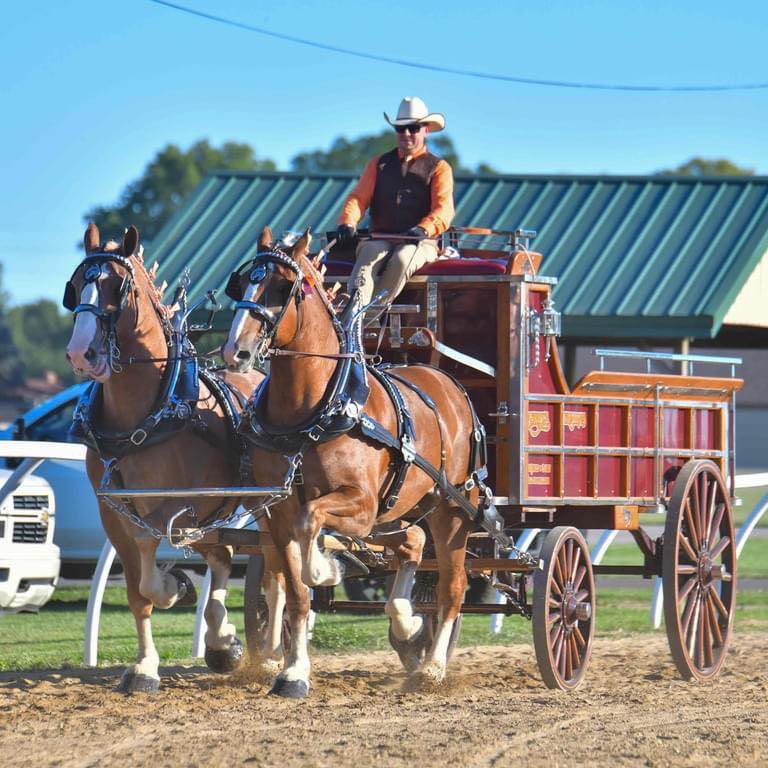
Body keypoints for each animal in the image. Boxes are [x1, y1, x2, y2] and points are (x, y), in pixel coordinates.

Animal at [63, 224, 268, 696]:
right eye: (76, 286)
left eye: (117, 287)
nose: (81, 353)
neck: (144, 415)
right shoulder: (113, 512)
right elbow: (139, 589)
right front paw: (144, 665)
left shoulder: (178, 504)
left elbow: (151, 569)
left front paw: (176, 587)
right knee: (222, 554)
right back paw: (222, 641)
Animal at [222, 226, 486, 696]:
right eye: (240, 285)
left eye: (281, 288)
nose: (236, 351)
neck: (314, 412)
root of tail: (449, 381)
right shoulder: (278, 511)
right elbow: (296, 593)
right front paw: (294, 670)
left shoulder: (358, 504)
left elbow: (311, 526)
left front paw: (327, 568)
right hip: (399, 511)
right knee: (413, 542)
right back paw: (406, 622)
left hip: (452, 508)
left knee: (452, 586)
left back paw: (432, 667)